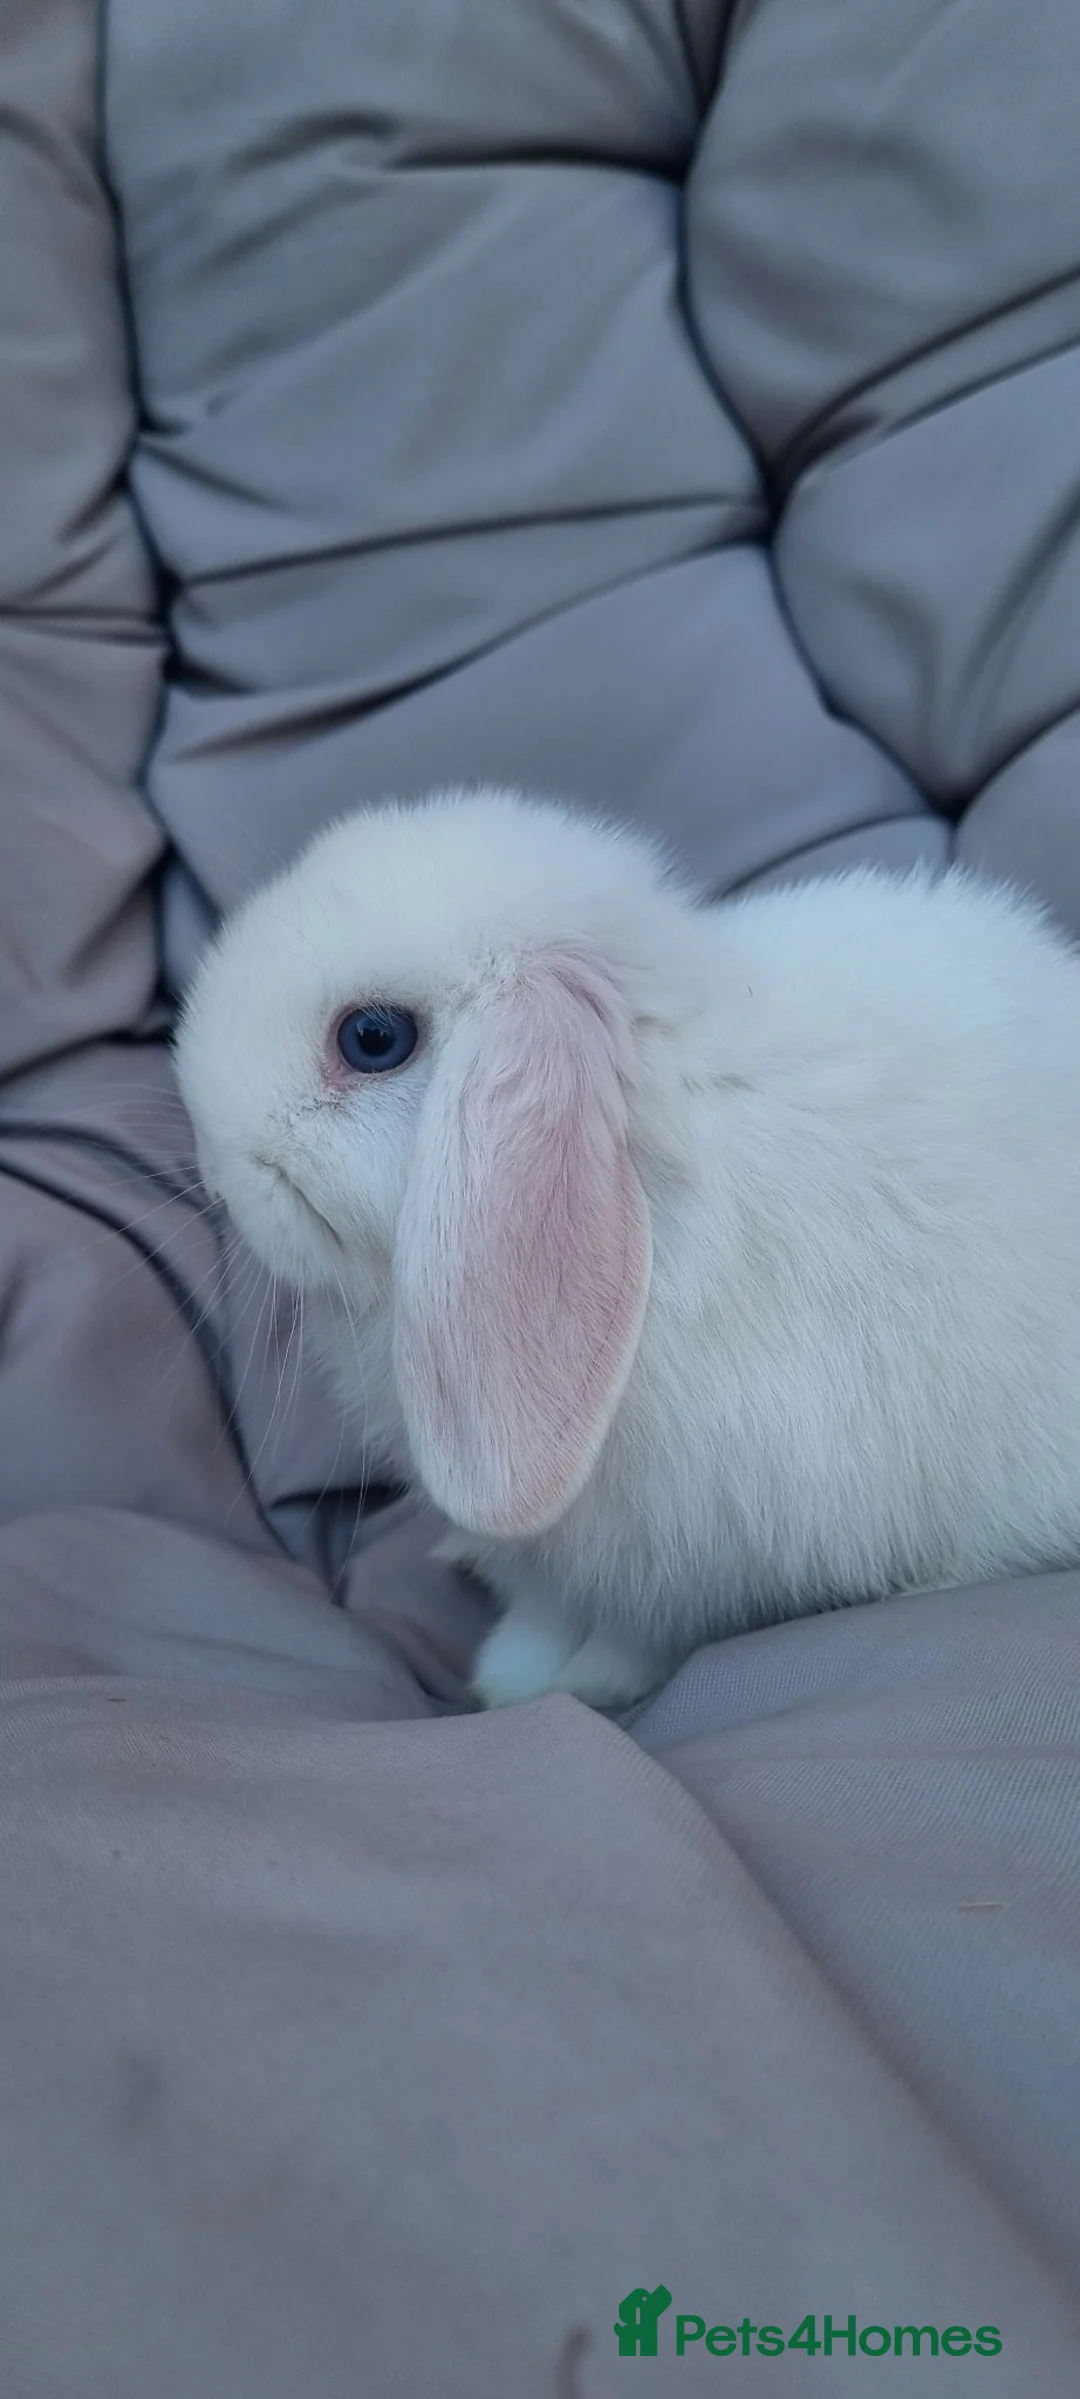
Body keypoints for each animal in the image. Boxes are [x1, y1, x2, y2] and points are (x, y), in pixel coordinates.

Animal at [175, 784, 1080, 1711]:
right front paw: (511, 1671)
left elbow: (637, 1634)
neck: (644, 1176)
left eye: (373, 1038)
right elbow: (540, 1607)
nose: (213, 1171)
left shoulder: (694, 1552)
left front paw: (562, 1687)